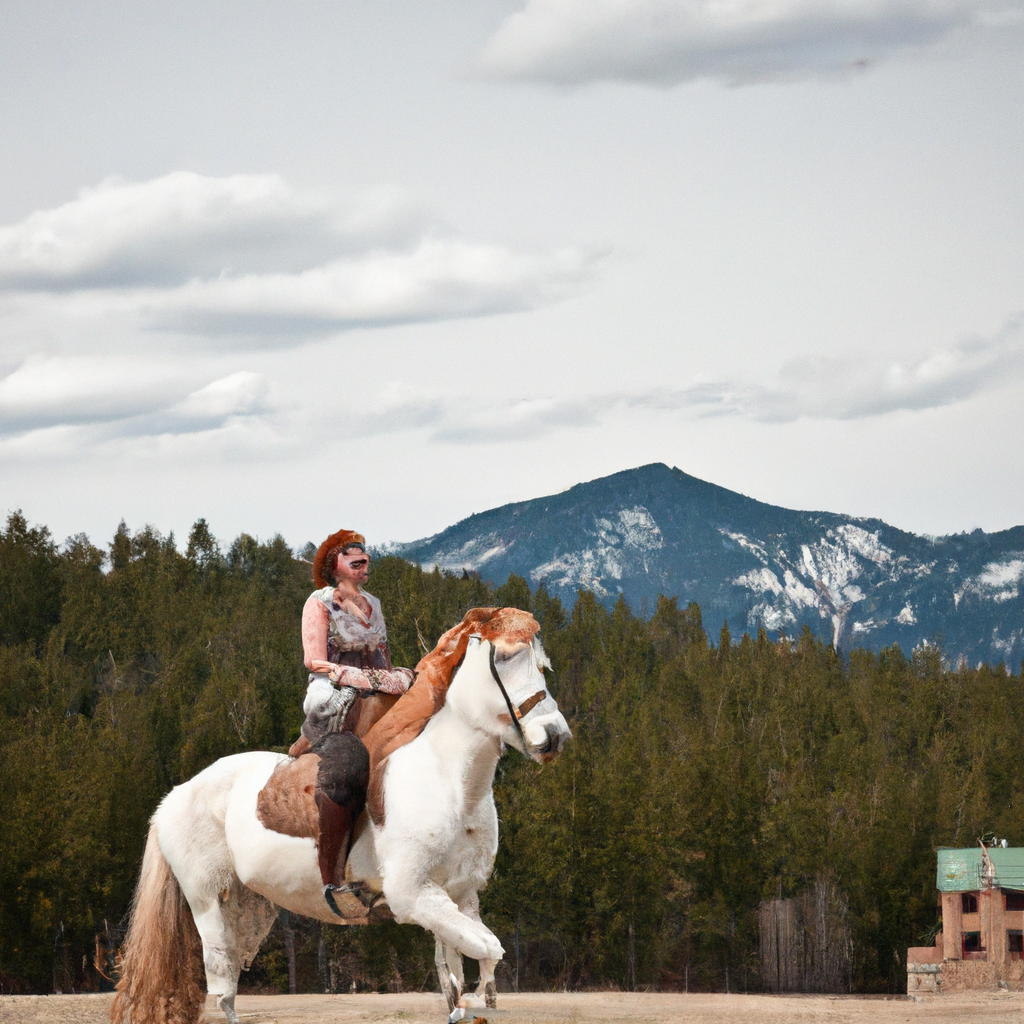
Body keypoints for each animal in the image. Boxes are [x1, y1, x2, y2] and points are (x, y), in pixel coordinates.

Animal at [114, 606, 577, 1024]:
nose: (555, 736)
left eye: (542, 665)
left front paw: (472, 1000)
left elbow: (460, 972)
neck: (451, 781)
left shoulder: (461, 896)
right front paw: (480, 998)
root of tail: (174, 796)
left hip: (248, 906)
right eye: (505, 658)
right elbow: (488, 950)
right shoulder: (413, 896)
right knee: (221, 982)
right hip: (207, 900)